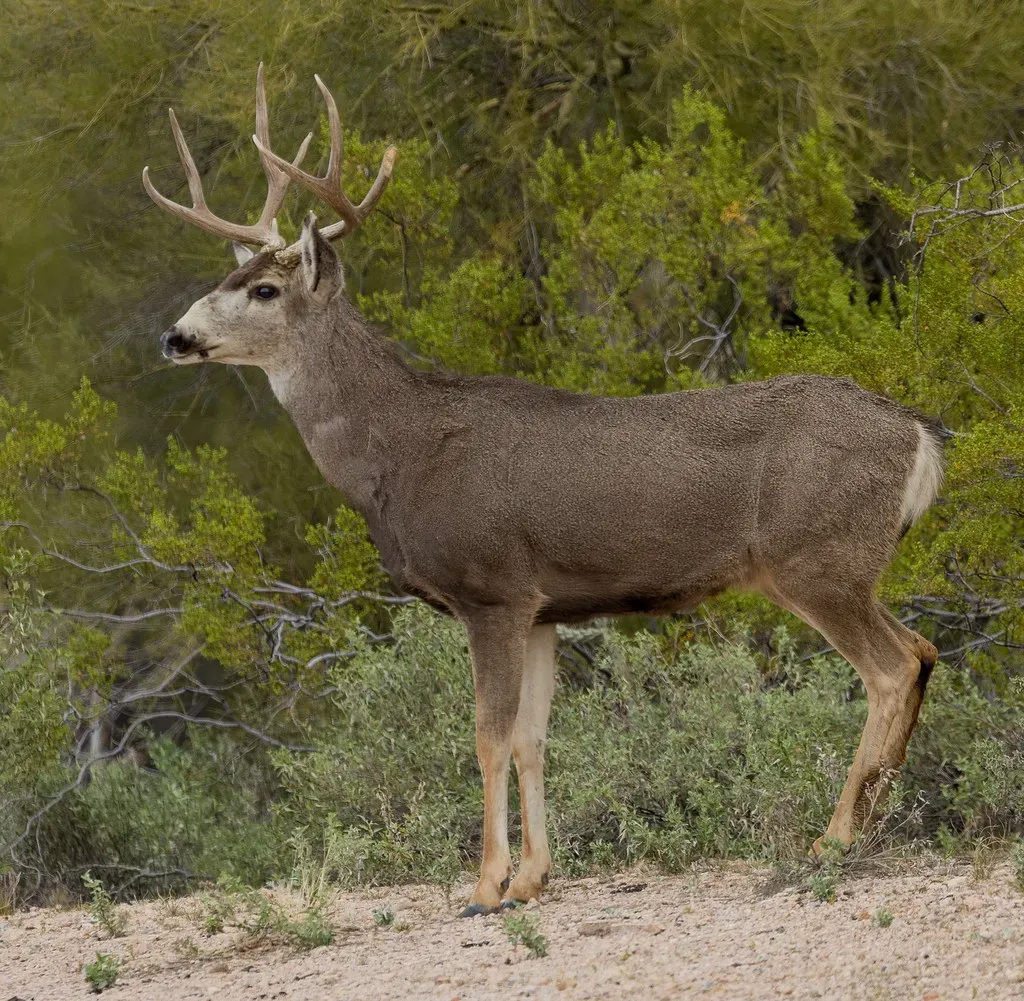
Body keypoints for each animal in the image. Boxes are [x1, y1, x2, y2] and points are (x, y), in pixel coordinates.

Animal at [144, 66, 944, 917]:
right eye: (225, 278)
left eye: (263, 289)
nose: (174, 336)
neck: (400, 453)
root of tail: (919, 433)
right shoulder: (542, 608)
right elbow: (532, 736)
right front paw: (533, 875)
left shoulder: (490, 587)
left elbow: (486, 734)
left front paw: (484, 885)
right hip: (848, 564)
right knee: (924, 650)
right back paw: (876, 817)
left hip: (815, 559)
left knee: (892, 667)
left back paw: (835, 838)